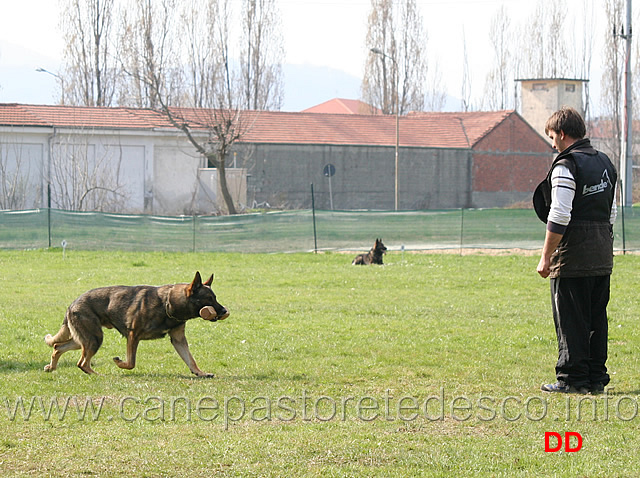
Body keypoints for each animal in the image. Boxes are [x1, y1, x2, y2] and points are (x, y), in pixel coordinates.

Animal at [42, 272, 229, 378]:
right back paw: (98, 375)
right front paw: (119, 363)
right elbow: (131, 363)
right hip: (94, 339)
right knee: (81, 363)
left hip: (83, 339)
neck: (167, 304)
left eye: (215, 297)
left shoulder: (178, 340)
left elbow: (190, 360)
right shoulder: (133, 335)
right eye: (209, 299)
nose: (224, 311)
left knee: (58, 347)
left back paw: (51, 367)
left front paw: (200, 373)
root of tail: (72, 304)